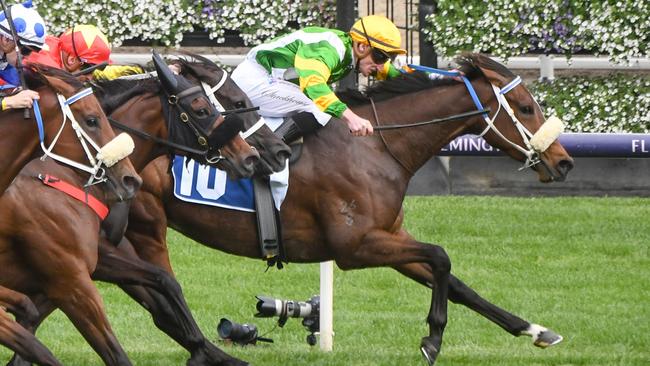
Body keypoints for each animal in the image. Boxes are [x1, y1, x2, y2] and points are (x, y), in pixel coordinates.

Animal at [123, 53, 572, 364]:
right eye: (526, 107)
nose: (564, 161)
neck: (375, 145)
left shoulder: (388, 235)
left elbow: (455, 282)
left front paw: (535, 330)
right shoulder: (354, 247)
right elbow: (442, 257)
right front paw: (432, 340)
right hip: (147, 227)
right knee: (161, 292)